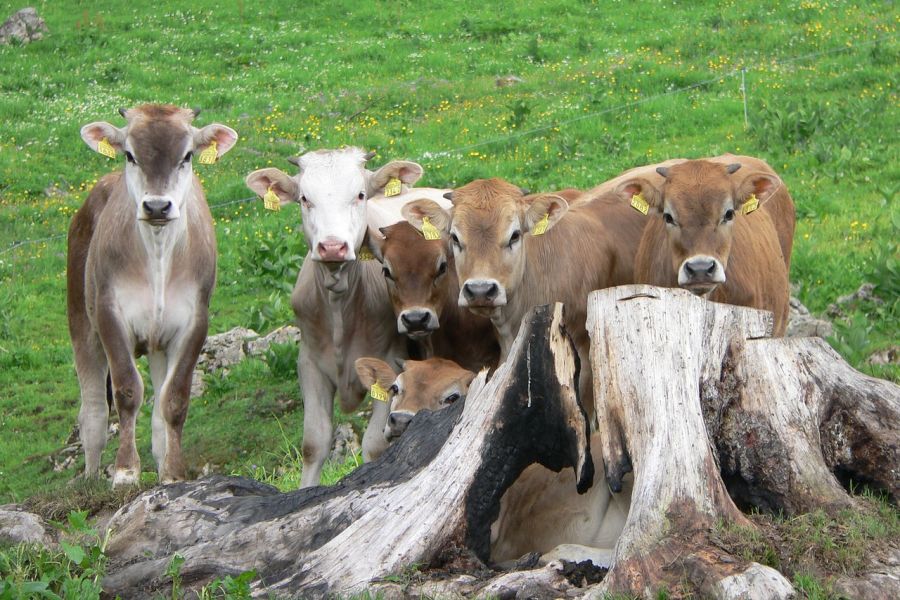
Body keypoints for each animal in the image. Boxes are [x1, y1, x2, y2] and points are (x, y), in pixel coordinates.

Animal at [68, 104, 237, 488]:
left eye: (187, 155)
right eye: (130, 155)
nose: (157, 206)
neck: (159, 258)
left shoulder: (194, 322)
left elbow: (173, 400)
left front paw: (173, 474)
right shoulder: (109, 314)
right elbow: (127, 391)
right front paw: (125, 472)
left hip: (159, 342)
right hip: (81, 320)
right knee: (93, 410)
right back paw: (91, 477)